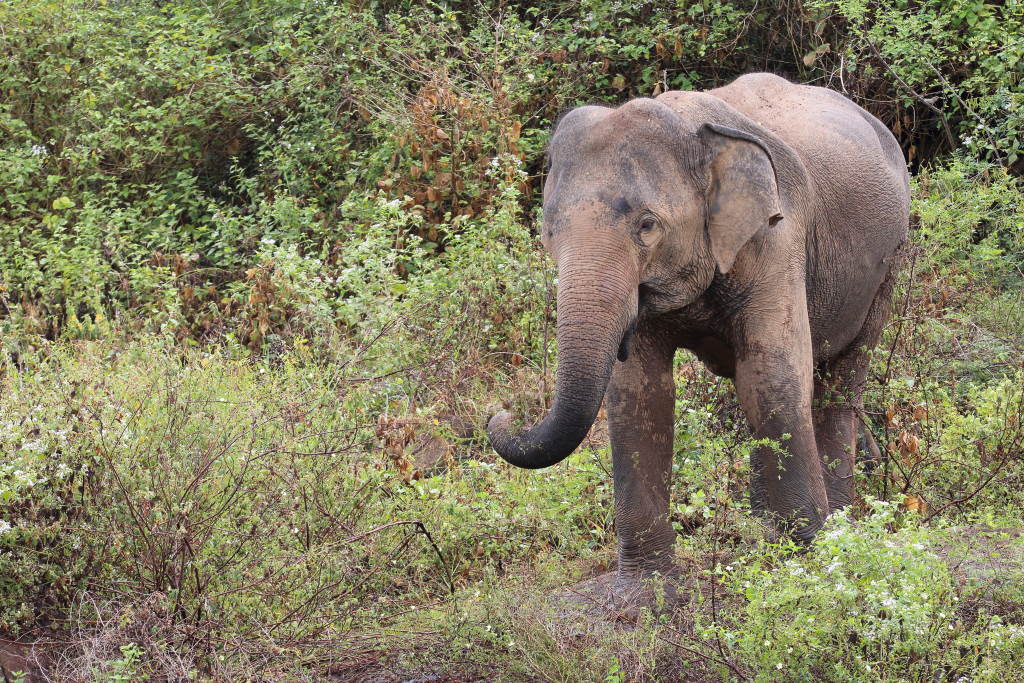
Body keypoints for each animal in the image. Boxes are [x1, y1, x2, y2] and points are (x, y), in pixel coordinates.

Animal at [487, 74, 913, 593]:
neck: (691, 129)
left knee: (840, 378)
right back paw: (769, 527)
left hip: (890, 260)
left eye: (647, 225)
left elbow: (772, 377)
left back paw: (839, 524)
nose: (500, 415)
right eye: (548, 232)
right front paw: (643, 596)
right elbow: (640, 395)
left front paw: (812, 567)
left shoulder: (776, 237)